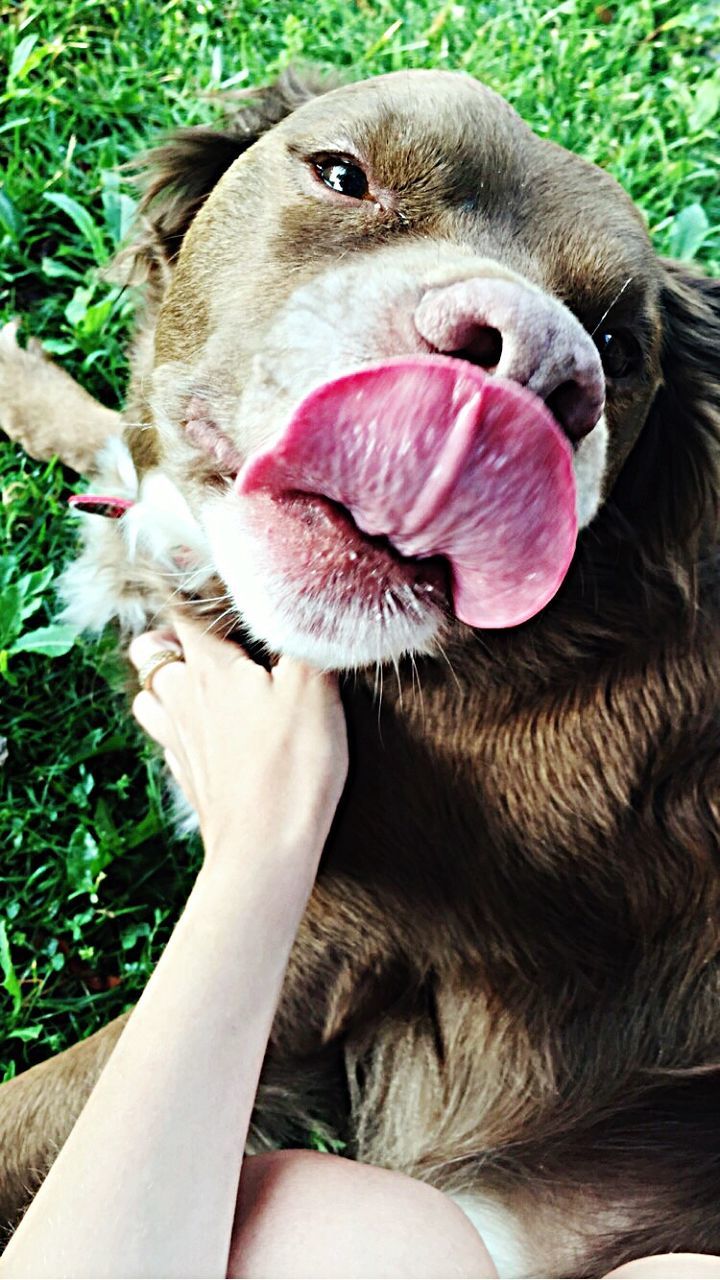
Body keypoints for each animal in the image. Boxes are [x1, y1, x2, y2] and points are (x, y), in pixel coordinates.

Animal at [1, 72, 717, 1280]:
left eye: (621, 349)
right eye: (344, 174)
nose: (535, 363)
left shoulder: (310, 953)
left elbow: (28, 1115)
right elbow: (113, 430)